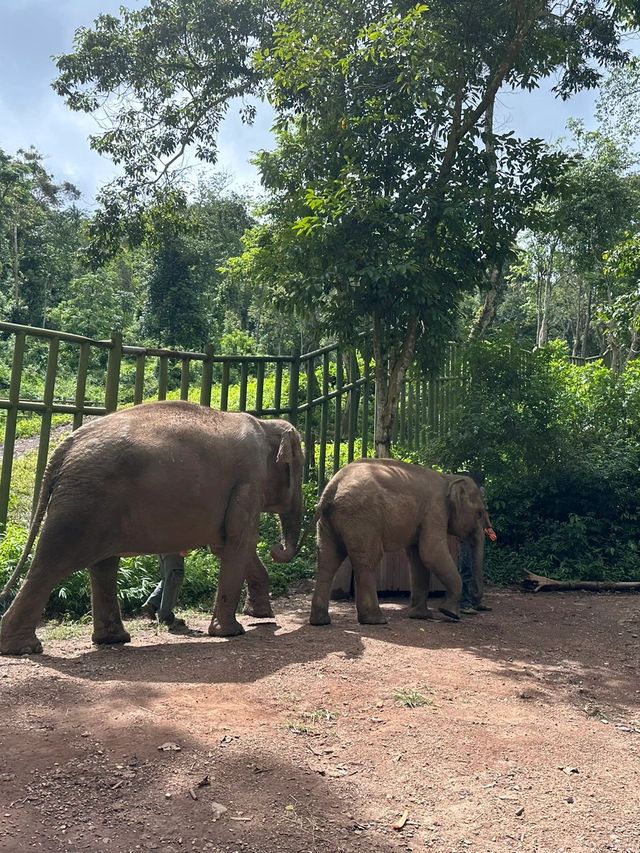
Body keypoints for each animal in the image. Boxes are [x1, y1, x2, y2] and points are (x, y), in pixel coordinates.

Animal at [0, 402, 304, 656]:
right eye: (300, 469)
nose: (277, 548)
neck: (265, 425)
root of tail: (64, 447)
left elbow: (228, 545)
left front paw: (261, 616)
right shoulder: (249, 481)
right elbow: (239, 542)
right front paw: (232, 632)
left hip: (93, 503)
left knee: (102, 565)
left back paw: (113, 639)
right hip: (84, 503)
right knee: (53, 564)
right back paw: (24, 648)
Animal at [310, 460, 490, 624]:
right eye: (480, 513)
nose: (478, 602)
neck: (448, 478)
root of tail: (333, 485)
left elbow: (418, 558)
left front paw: (421, 616)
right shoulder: (435, 509)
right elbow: (431, 553)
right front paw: (450, 613)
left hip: (328, 522)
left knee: (328, 561)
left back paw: (321, 621)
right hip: (361, 517)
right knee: (368, 560)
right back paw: (376, 620)